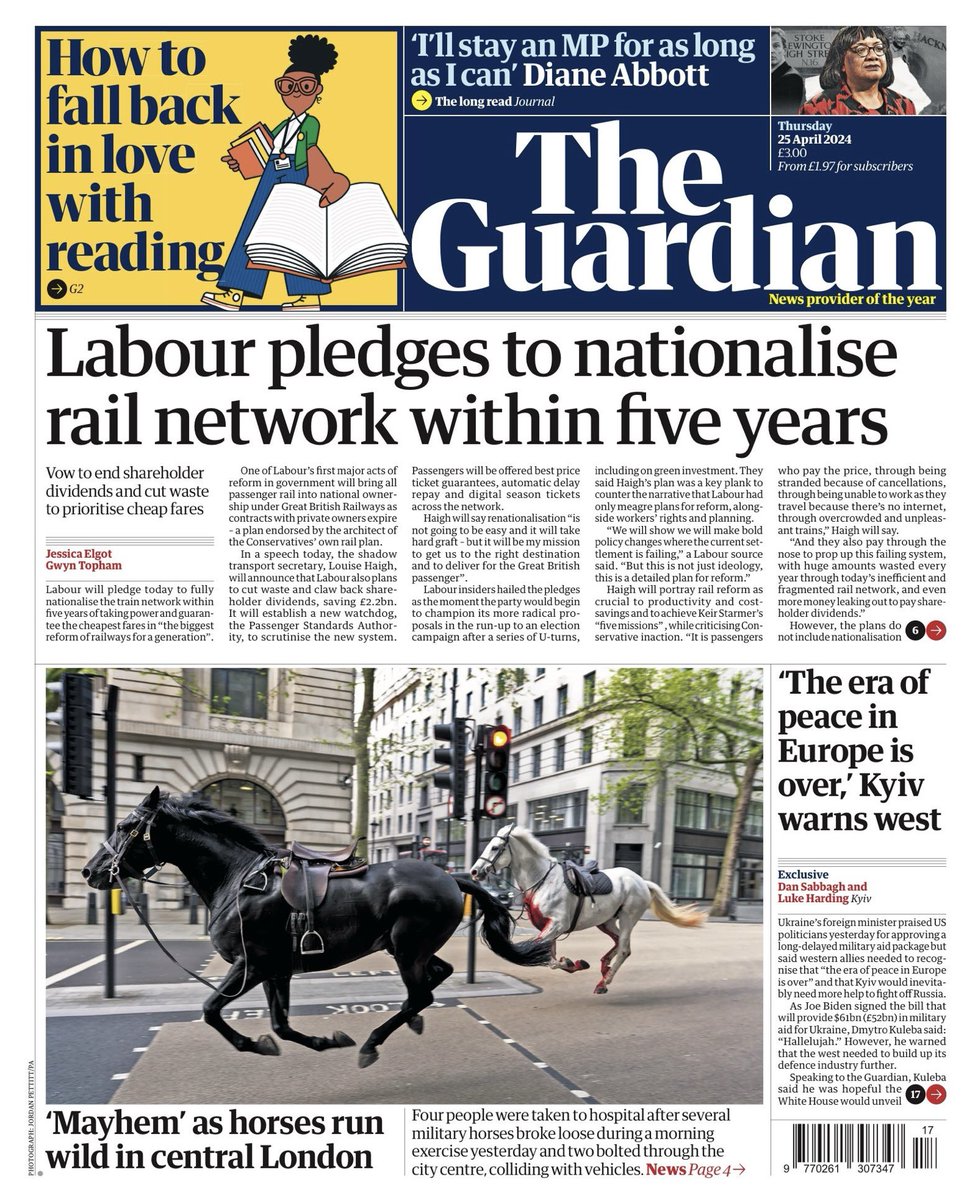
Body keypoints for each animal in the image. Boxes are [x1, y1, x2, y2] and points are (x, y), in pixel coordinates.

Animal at [81, 792, 552, 1065]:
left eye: (125, 826)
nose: (90, 871)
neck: (237, 880)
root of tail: (451, 877)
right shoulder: (276, 970)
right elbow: (280, 1025)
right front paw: (323, 1040)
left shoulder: (251, 965)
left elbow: (212, 1009)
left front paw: (255, 1045)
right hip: (406, 947)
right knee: (435, 979)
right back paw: (410, 1022)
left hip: (406, 947)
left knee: (422, 992)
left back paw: (373, 1042)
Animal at [468, 825, 700, 993]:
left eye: (495, 847)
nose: (475, 871)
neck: (542, 880)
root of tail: (641, 881)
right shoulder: (550, 928)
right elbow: (550, 959)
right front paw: (573, 963)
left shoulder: (557, 924)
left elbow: (547, 958)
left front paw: (573, 963)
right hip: (606, 921)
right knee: (619, 943)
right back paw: (604, 967)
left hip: (628, 918)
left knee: (624, 949)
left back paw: (604, 982)